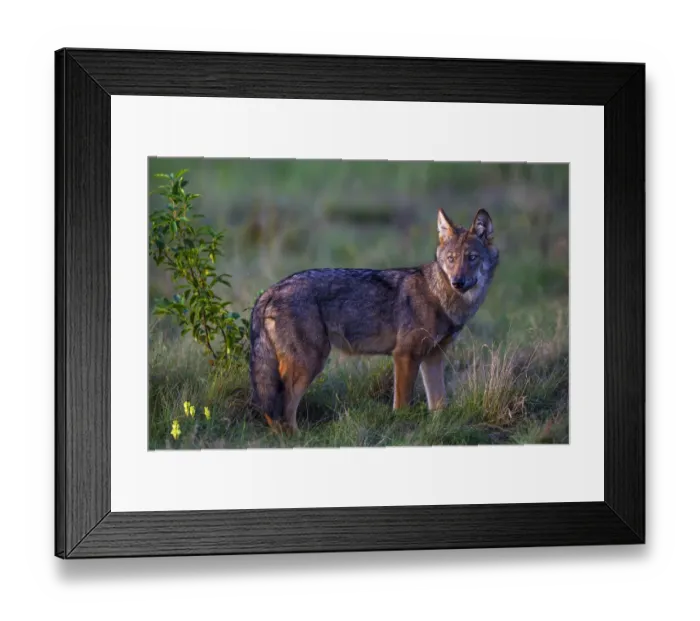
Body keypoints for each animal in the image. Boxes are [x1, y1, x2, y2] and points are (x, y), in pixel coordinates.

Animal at [249, 208, 499, 432]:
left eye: (472, 258)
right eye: (451, 259)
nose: (458, 281)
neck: (440, 296)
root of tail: (269, 290)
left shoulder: (433, 357)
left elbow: (439, 405)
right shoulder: (405, 355)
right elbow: (402, 406)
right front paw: (401, 429)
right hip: (310, 363)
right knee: (283, 407)